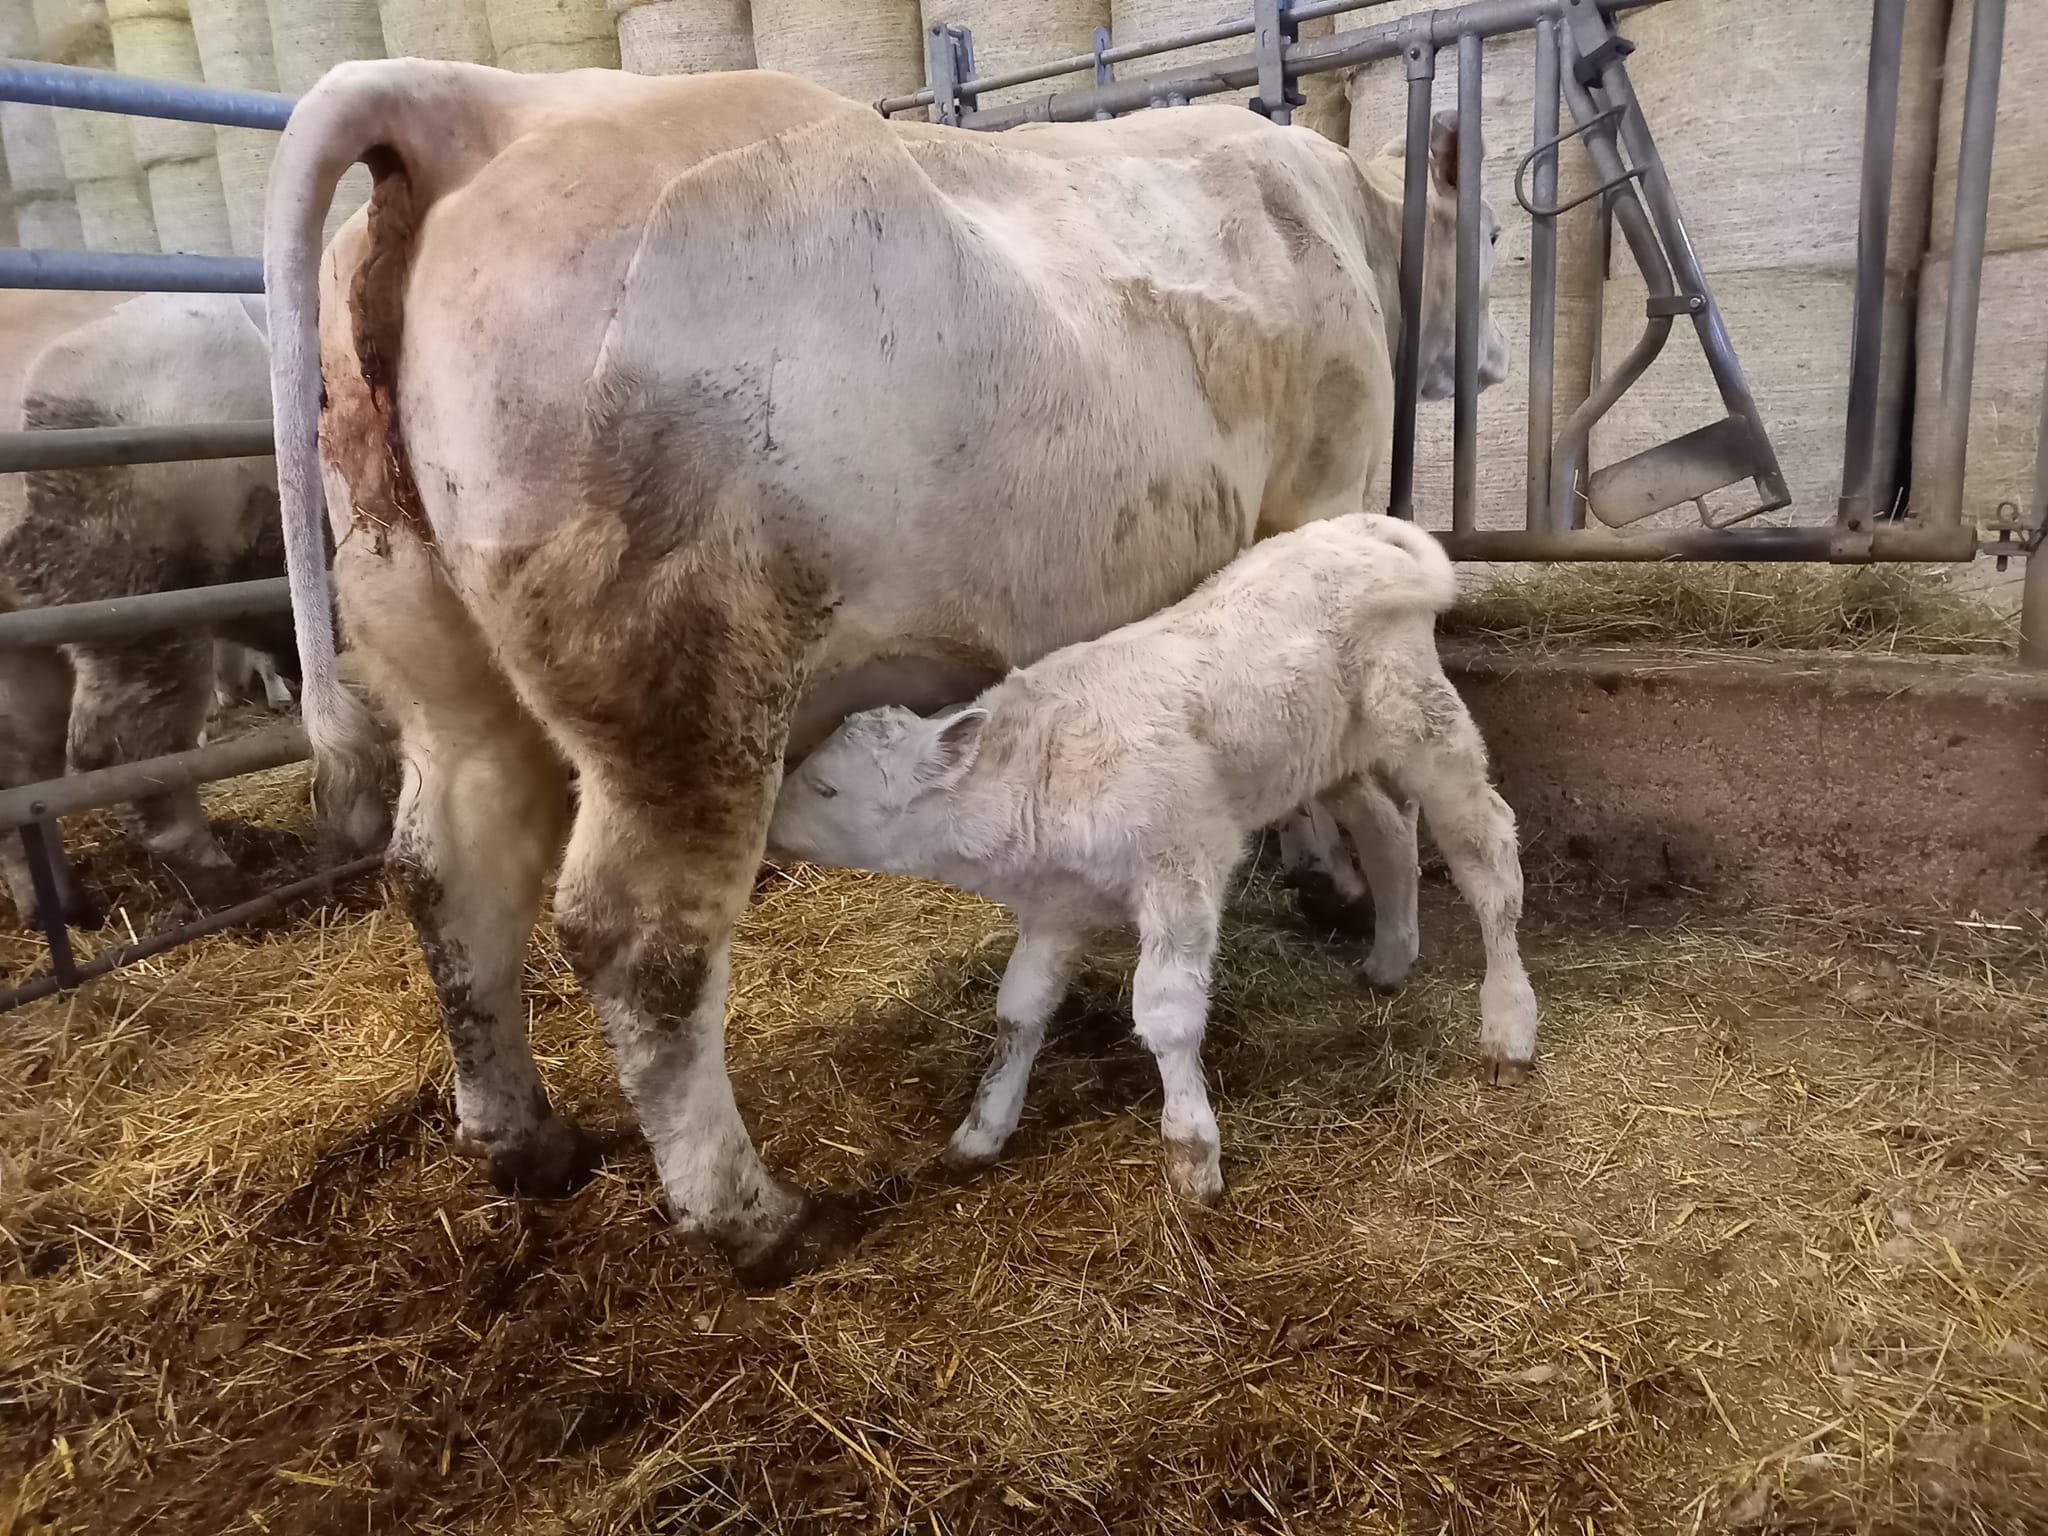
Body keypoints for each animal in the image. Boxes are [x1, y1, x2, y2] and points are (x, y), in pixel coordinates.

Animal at [770, 518, 1540, 1204]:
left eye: (827, 785)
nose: (769, 824)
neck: (1038, 770)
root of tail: (1356, 531)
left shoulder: (1182, 865)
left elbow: (1166, 1012)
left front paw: (1192, 1155)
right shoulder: (1054, 908)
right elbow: (1019, 1010)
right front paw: (982, 1131)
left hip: (1424, 722)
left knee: (1486, 851)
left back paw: (1508, 1029)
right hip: (1335, 752)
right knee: (1388, 829)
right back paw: (1389, 958)